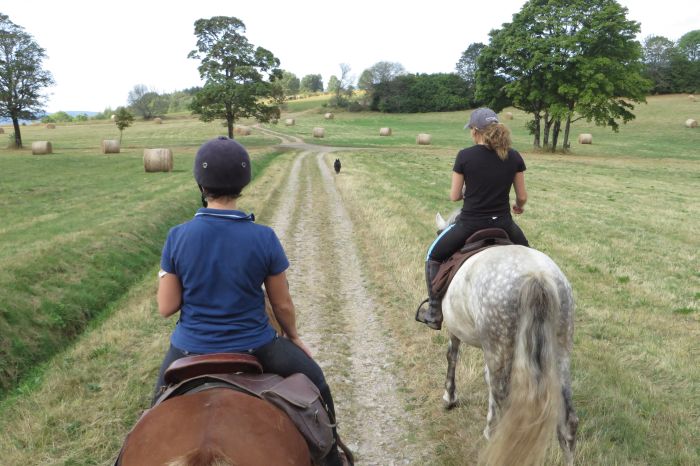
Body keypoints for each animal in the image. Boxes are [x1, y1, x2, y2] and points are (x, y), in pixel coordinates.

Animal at [438, 212, 580, 466]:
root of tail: (537, 276)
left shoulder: (456, 330)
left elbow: (452, 357)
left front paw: (449, 397)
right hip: (559, 351)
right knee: (569, 422)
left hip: (500, 344)